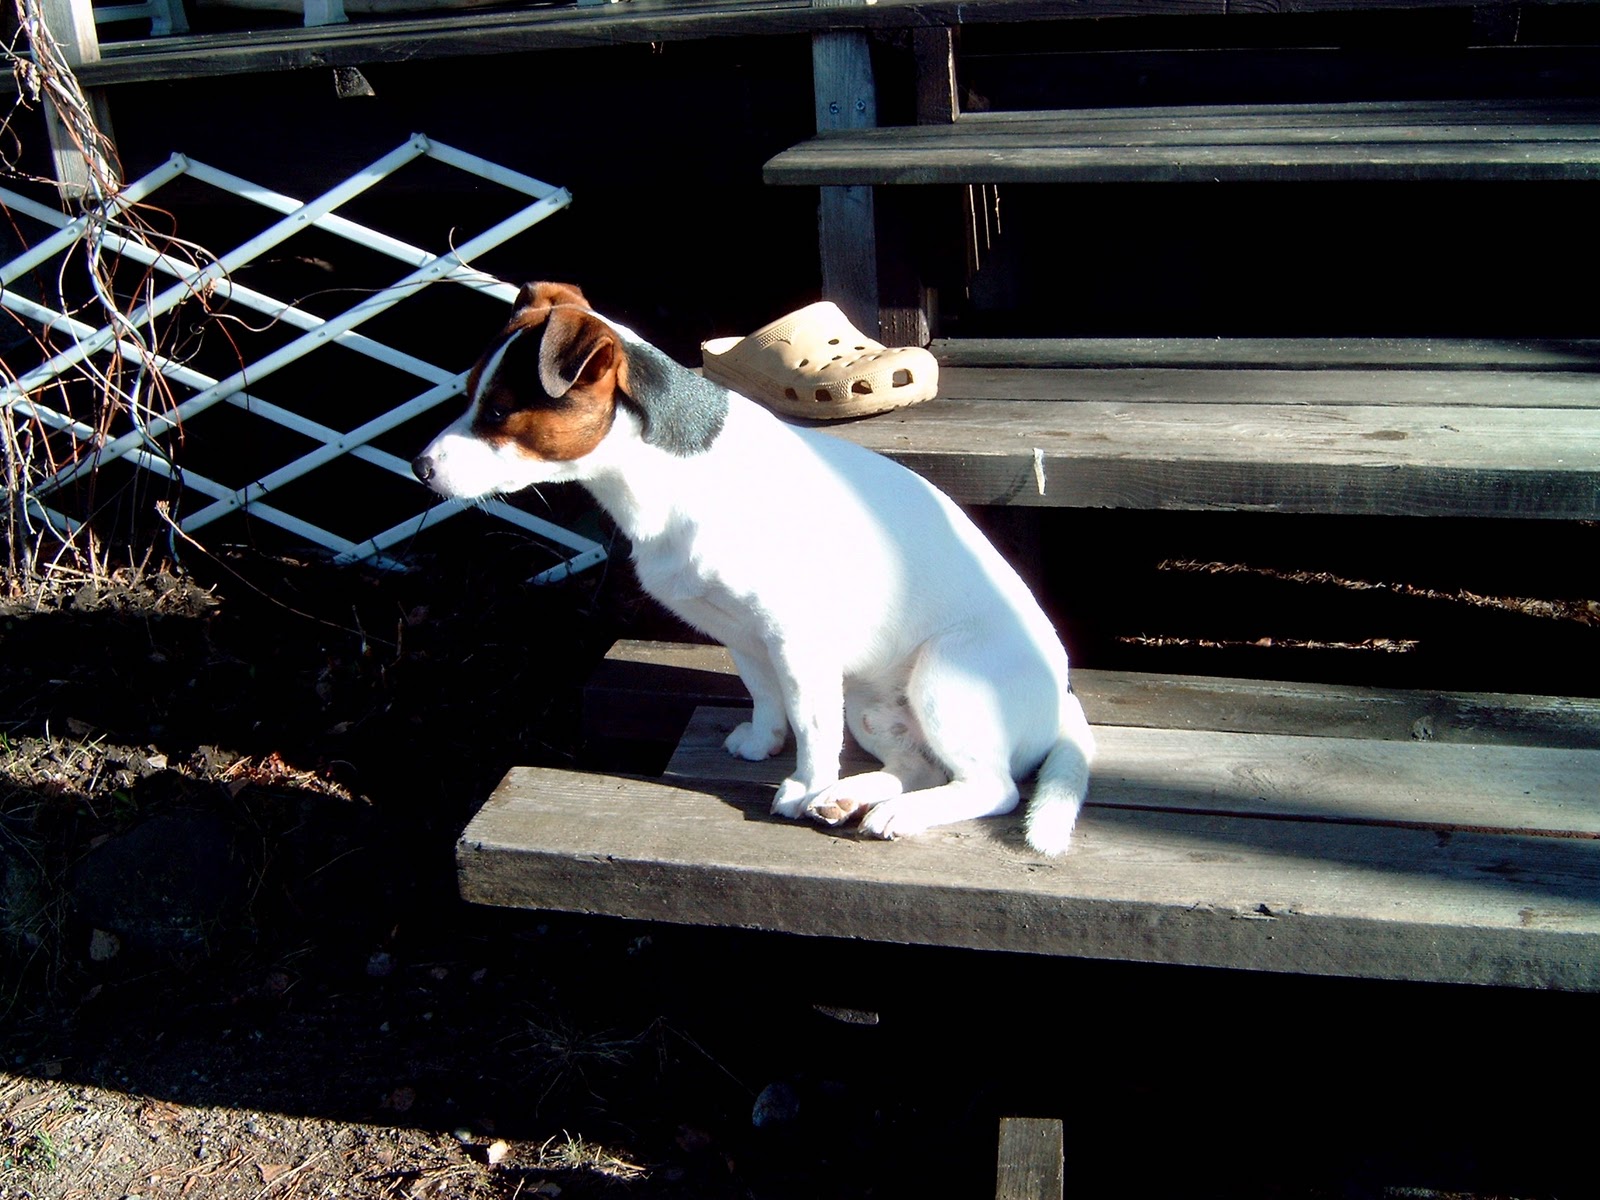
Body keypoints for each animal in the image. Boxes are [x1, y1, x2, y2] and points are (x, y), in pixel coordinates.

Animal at [413, 282, 1094, 853]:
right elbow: (766, 695)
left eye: (497, 414)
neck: (661, 477)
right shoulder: (740, 634)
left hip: (944, 677)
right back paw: (853, 796)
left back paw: (886, 809)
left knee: (992, 787)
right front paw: (767, 744)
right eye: (466, 395)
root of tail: (1063, 701)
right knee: (918, 766)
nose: (419, 467)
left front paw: (802, 784)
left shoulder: (797, 641)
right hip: (871, 703)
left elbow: (812, 725)